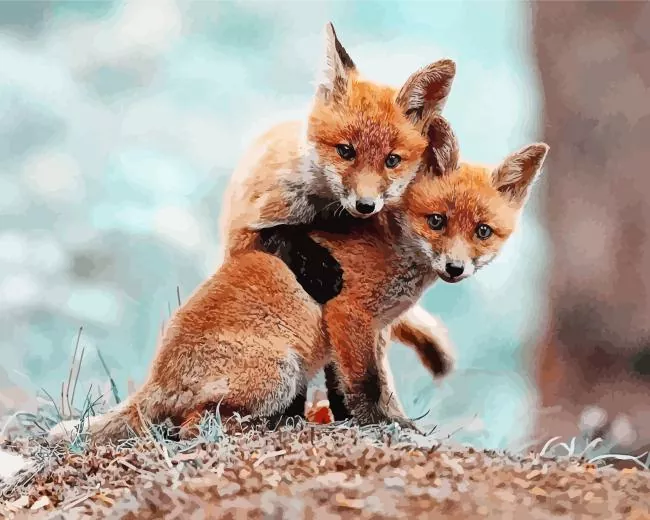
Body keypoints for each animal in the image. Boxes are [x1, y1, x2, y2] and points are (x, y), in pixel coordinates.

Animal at [48, 116, 548, 443]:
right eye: (437, 221)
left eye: (482, 231)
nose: (455, 269)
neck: (395, 248)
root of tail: (158, 374)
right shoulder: (349, 314)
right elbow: (367, 387)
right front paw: (382, 427)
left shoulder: (374, 330)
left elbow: (366, 387)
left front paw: (384, 422)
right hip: (280, 373)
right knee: (189, 426)